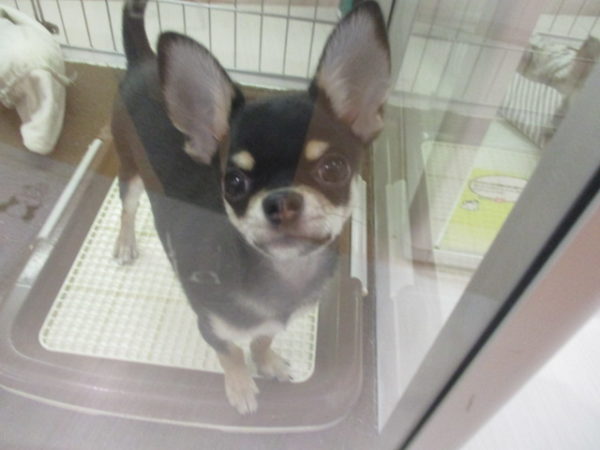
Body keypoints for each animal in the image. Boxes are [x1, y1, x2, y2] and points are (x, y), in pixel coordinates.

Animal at [112, 0, 390, 414]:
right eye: (233, 183)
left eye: (334, 168)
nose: (282, 200)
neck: (280, 276)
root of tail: (143, 60)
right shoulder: (211, 327)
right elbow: (231, 354)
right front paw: (241, 387)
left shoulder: (273, 324)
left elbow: (262, 338)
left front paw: (267, 361)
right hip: (129, 169)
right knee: (128, 207)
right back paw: (126, 242)